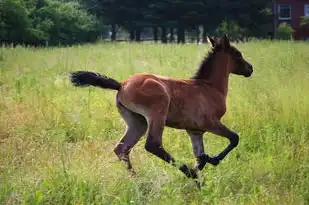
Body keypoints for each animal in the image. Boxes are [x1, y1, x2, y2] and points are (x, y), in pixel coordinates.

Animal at [70, 35, 253, 183]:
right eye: (238, 54)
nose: (250, 68)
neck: (209, 87)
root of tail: (121, 85)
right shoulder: (210, 123)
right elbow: (234, 138)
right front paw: (211, 161)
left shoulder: (194, 131)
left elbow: (200, 157)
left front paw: (200, 177)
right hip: (157, 113)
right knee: (152, 144)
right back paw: (187, 172)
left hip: (137, 122)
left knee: (122, 149)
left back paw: (137, 180)